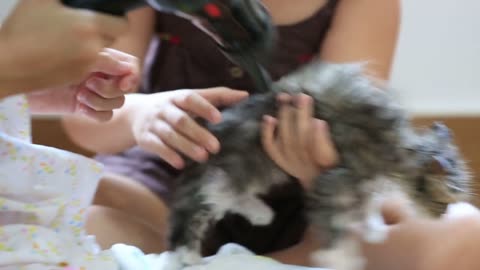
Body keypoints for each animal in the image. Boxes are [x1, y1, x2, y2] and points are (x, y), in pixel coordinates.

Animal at [164, 61, 468, 270]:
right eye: (444, 203)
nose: (445, 216)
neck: (401, 147)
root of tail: (215, 129)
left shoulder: (360, 181)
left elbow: (366, 203)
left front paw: (373, 228)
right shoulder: (336, 179)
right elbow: (336, 223)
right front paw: (340, 259)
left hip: (257, 167)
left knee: (227, 194)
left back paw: (260, 213)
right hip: (244, 162)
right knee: (202, 205)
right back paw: (186, 256)